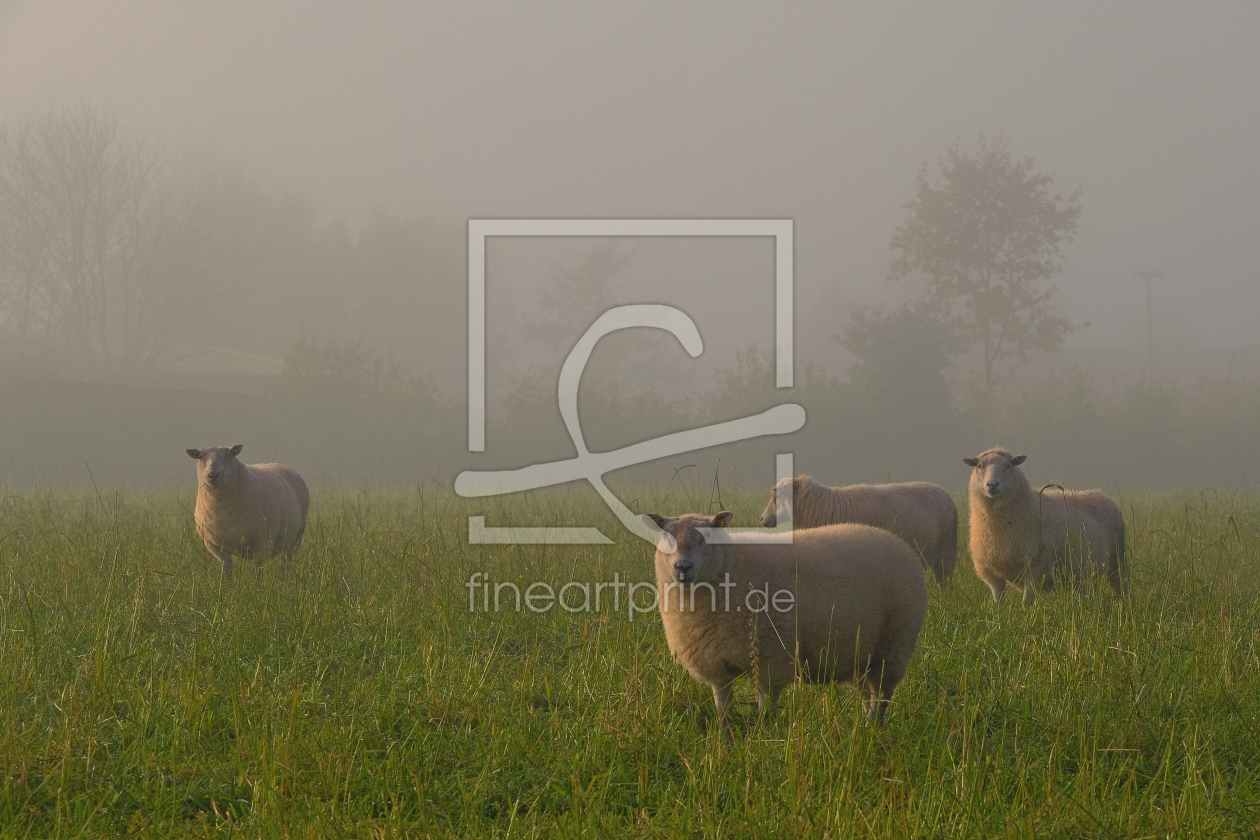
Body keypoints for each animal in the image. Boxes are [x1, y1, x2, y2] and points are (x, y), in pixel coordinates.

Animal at [186, 443, 309, 574]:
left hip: (295, 539)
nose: (213, 475)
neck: (221, 513)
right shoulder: (216, 546)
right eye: (200, 456)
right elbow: (227, 572)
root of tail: (284, 466)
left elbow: (256, 572)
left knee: (285, 565)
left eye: (228, 455)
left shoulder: (261, 544)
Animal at [640, 506, 927, 735]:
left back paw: (872, 734)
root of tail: (898, 543)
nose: (682, 567)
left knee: (881, 699)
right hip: (862, 657)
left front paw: (763, 742)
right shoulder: (716, 667)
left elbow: (765, 712)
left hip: (893, 648)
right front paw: (727, 745)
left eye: (706, 538)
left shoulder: (771, 659)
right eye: (665, 536)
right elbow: (723, 714)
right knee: (869, 696)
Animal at [957, 445, 1128, 604]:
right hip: (1082, 573)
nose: (992, 484)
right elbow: (999, 603)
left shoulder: (1036, 566)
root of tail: (1101, 494)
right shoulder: (990, 573)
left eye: (1008, 466)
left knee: (1120, 587)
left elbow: (1027, 601)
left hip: (1116, 563)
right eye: (980, 466)